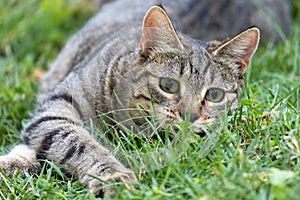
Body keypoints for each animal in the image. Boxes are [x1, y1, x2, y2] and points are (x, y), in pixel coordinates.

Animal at [0, 0, 258, 198]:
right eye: (169, 85)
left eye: (214, 94)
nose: (190, 116)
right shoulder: (54, 111)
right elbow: (80, 144)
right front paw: (114, 176)